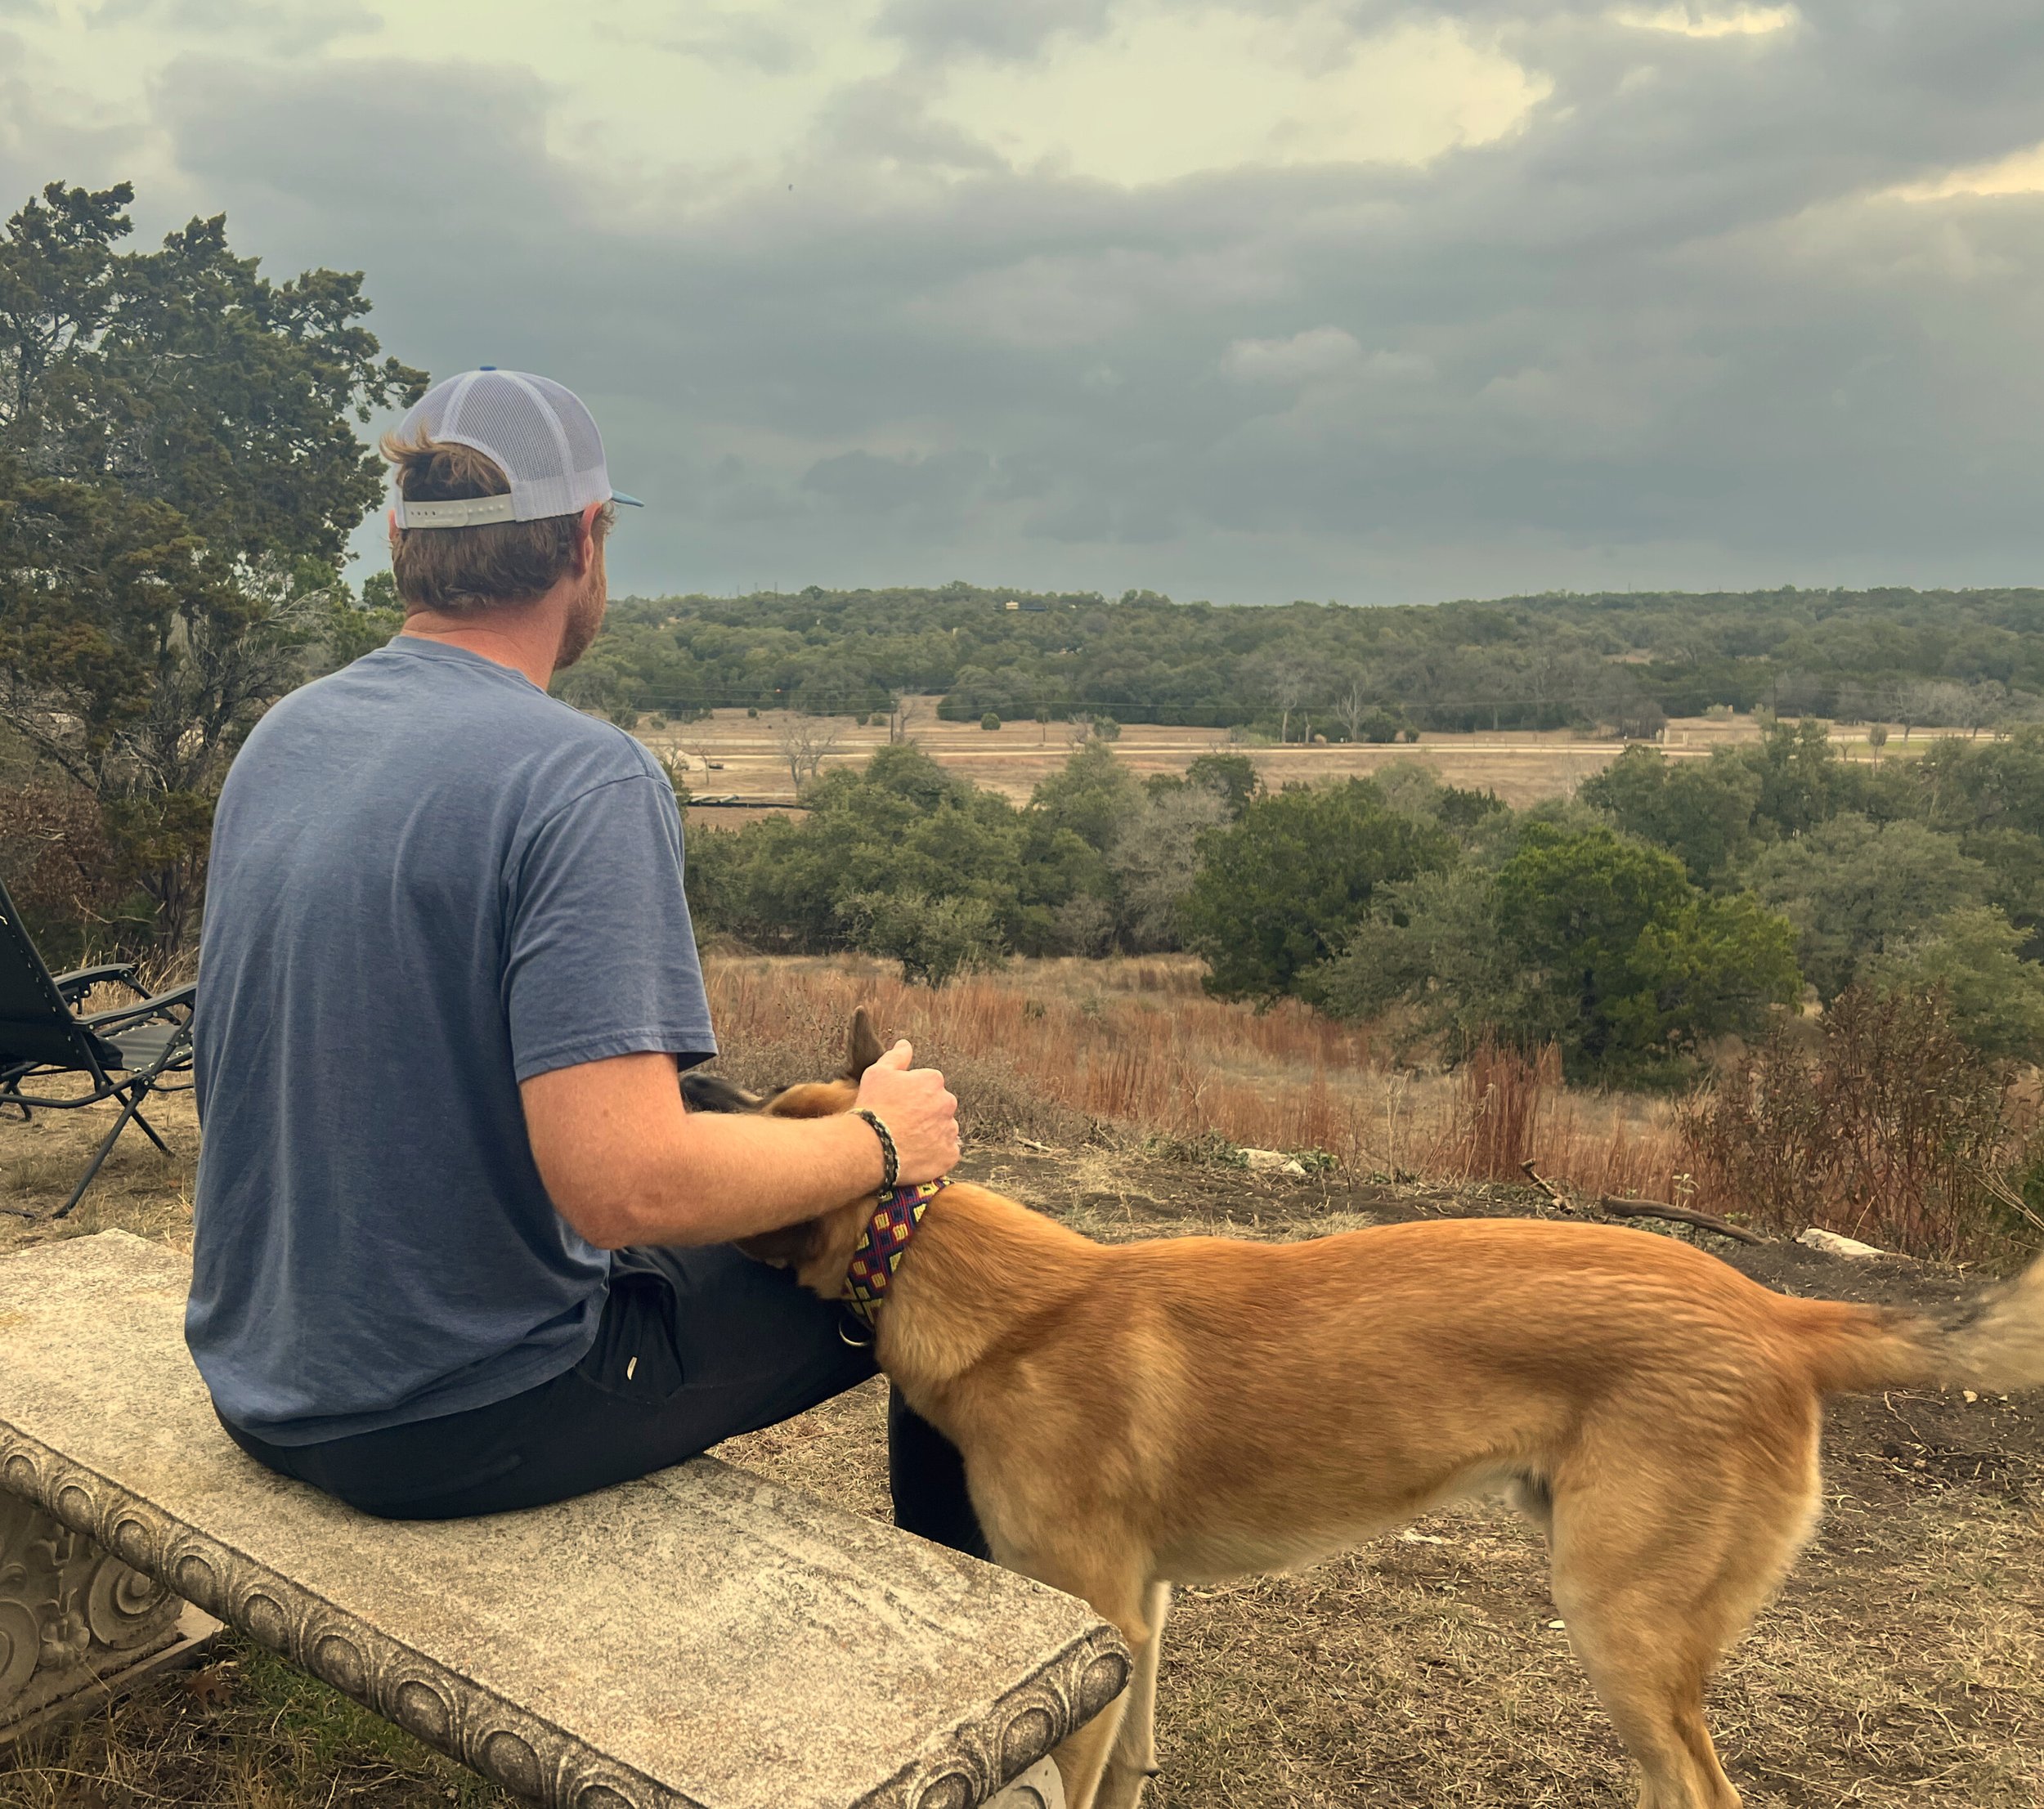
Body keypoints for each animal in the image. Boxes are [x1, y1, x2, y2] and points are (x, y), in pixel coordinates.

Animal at [685, 1011, 2044, 1809]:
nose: (691, 1086)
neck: (995, 1295)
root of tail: (1779, 1313)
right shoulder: (1139, 1620)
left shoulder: (1089, 1614)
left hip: (1622, 1627)